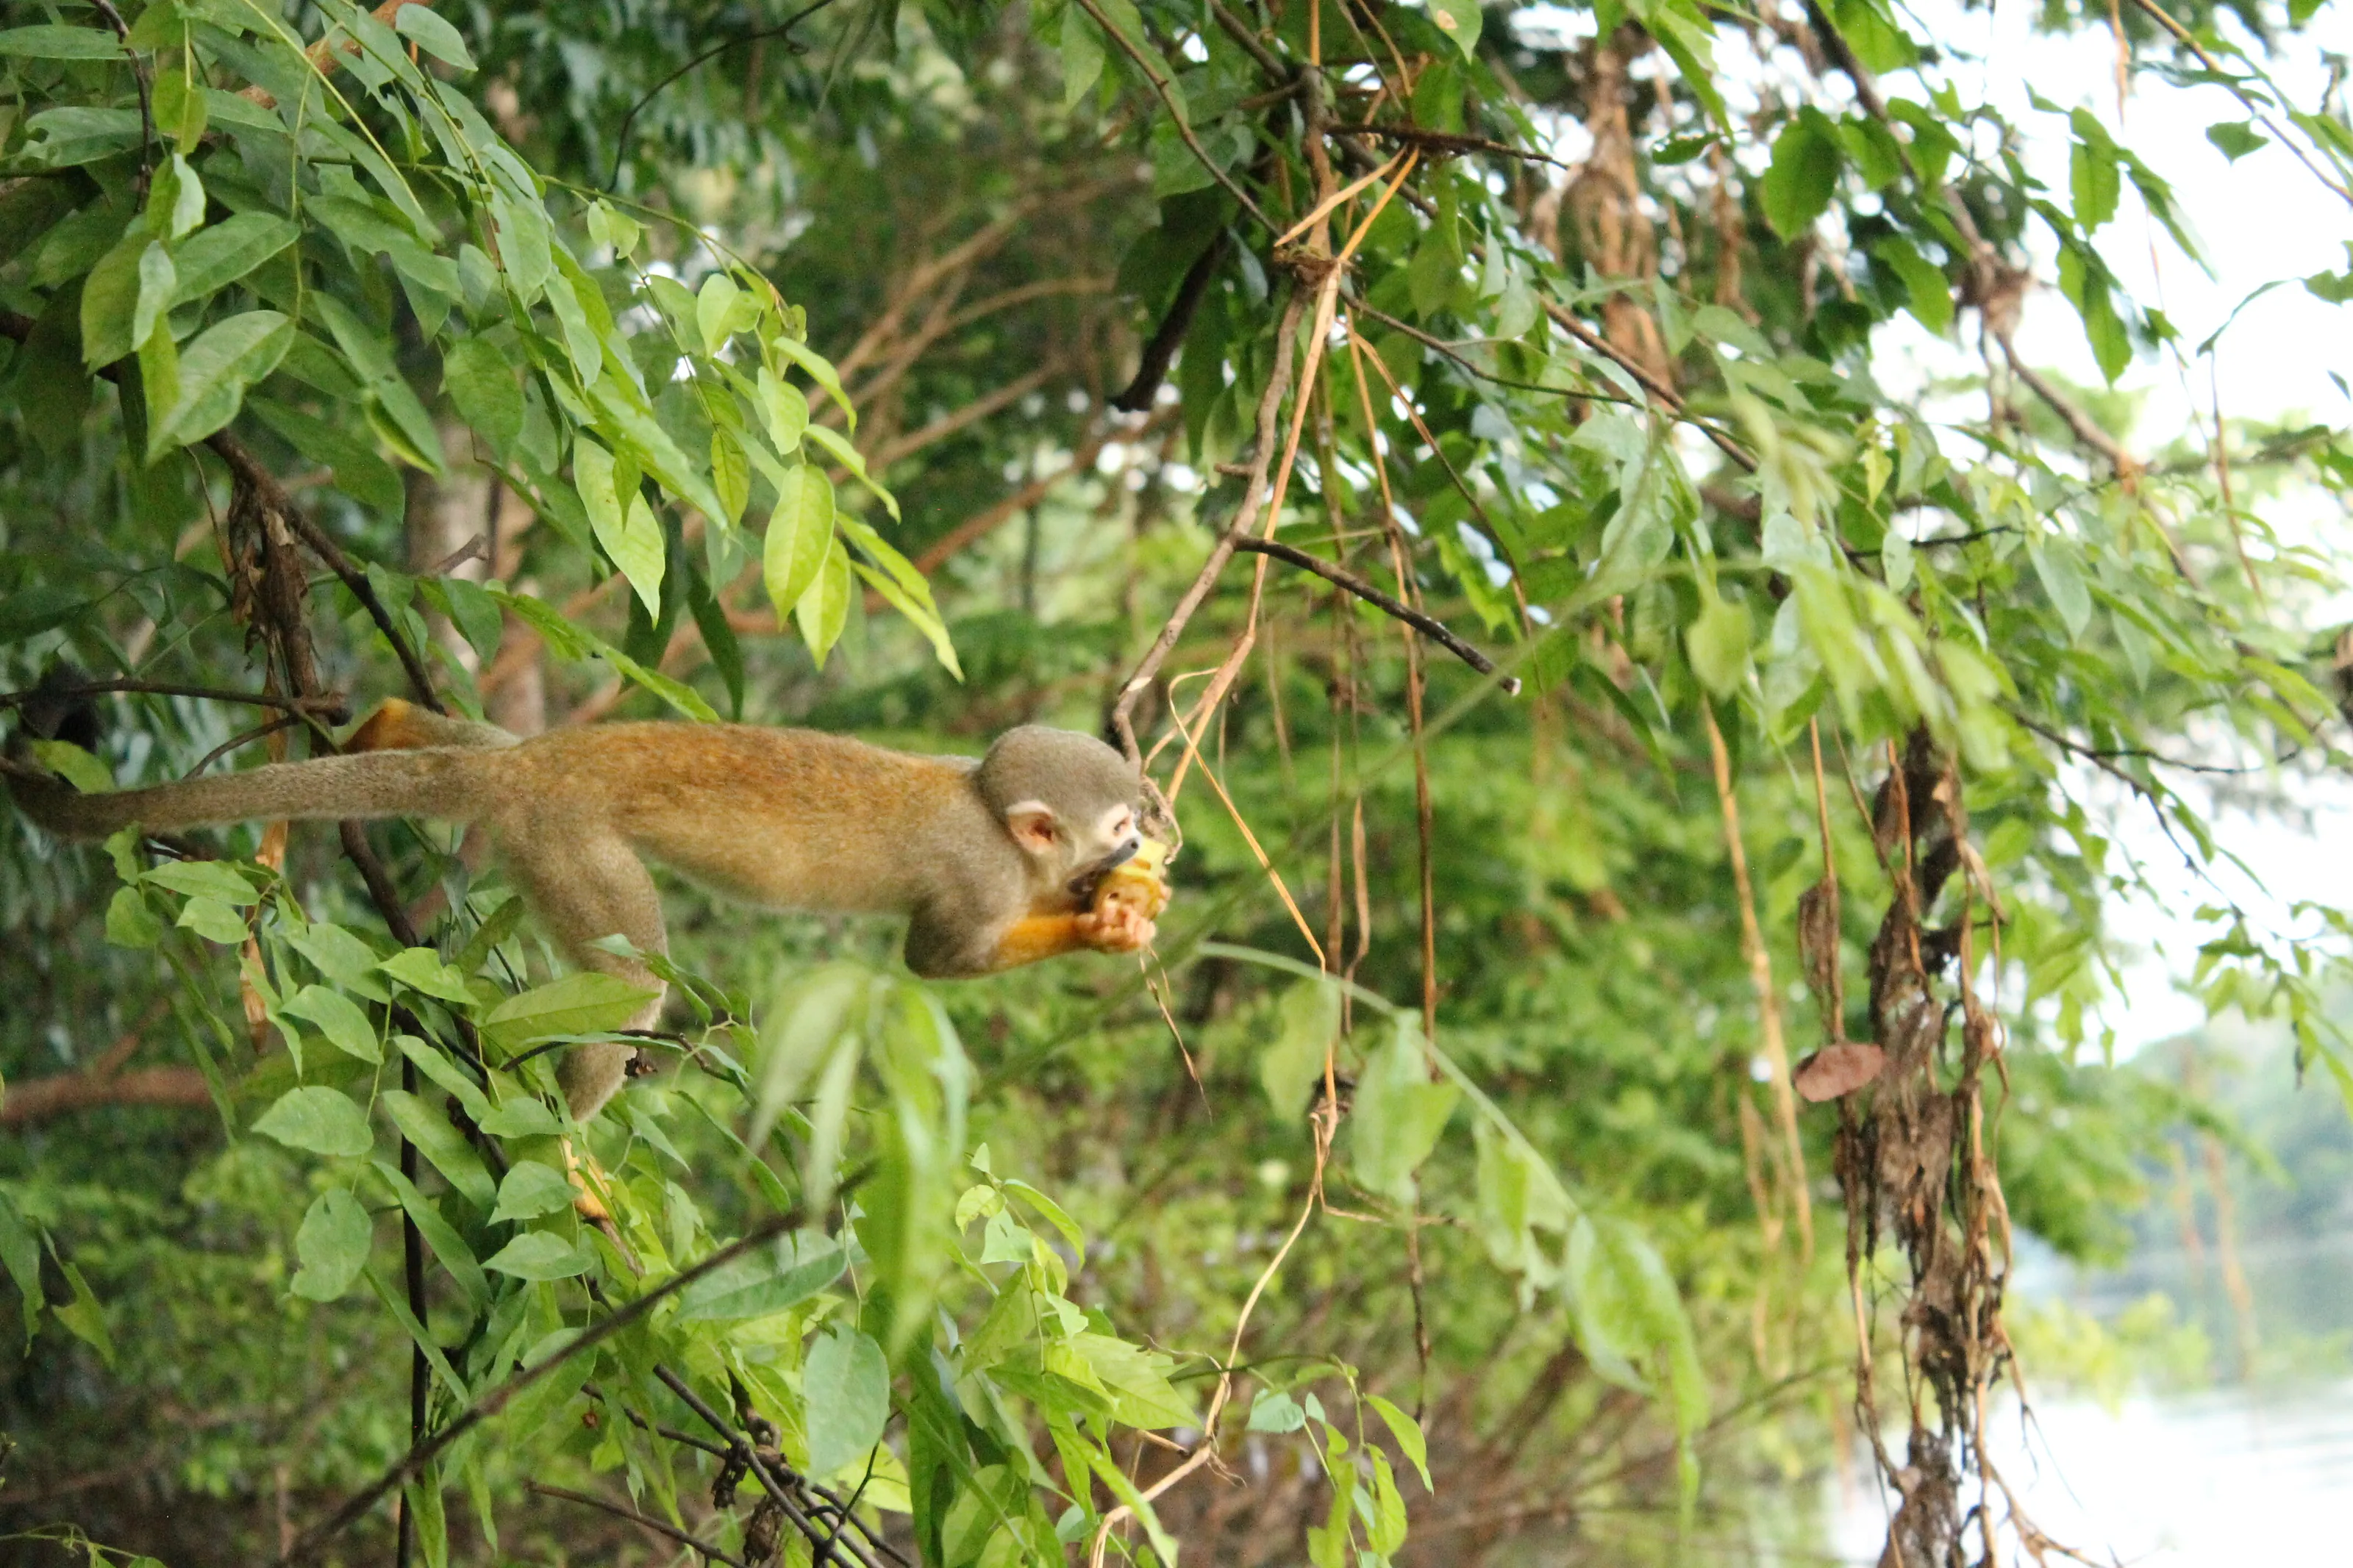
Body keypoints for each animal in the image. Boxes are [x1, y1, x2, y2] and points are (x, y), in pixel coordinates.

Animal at [6, 702, 1166, 1122]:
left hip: (515, 783)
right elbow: (939, 960)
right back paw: (569, 1144)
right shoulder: (978, 878)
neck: (987, 815)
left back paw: (378, 723)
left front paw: (1121, 906)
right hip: (566, 845)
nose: (1141, 840)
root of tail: (533, 769)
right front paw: (1098, 926)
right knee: (637, 973)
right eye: (1113, 823)